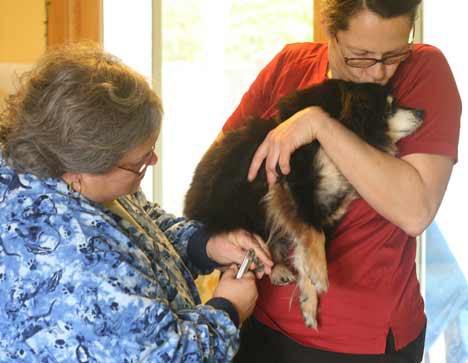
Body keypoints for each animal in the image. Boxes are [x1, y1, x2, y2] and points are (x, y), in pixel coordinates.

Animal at [183, 80, 424, 330]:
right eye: (390, 107)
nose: (422, 112)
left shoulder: (324, 208)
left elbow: (307, 248)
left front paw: (309, 301)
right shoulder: (293, 185)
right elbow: (314, 235)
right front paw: (320, 274)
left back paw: (278, 270)